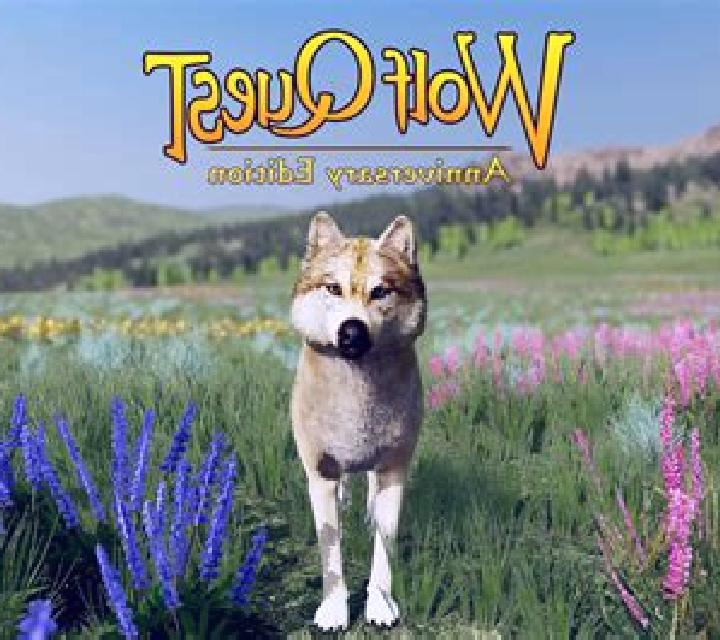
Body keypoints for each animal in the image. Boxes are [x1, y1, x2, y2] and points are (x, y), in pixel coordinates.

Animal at [290, 212, 427, 630]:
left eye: (381, 291)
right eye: (333, 288)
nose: (352, 330)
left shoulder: (394, 468)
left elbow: (385, 548)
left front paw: (381, 605)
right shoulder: (320, 471)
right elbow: (330, 551)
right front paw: (333, 611)